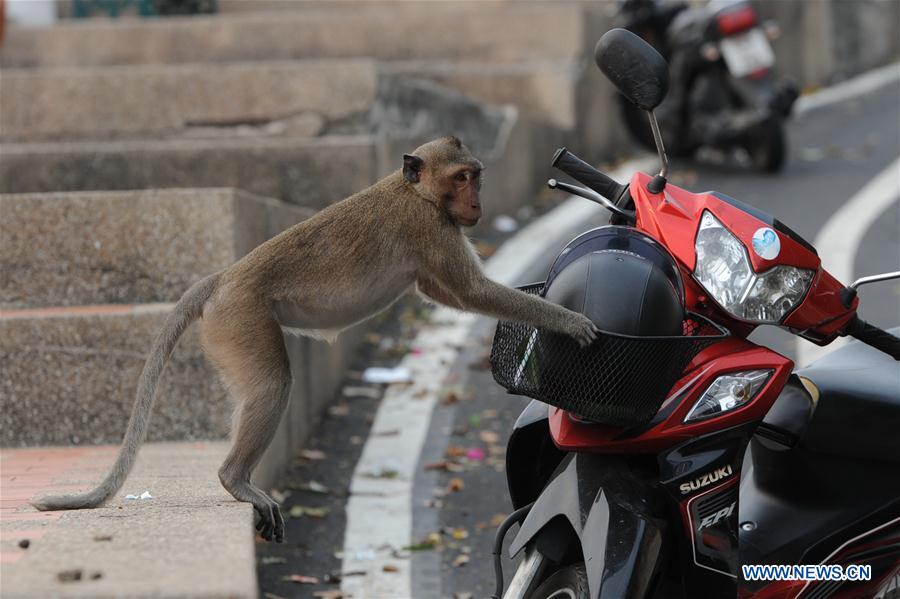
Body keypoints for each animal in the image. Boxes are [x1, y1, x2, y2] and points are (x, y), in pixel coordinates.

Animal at [32, 136, 598, 542]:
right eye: (461, 177)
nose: (477, 203)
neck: (415, 192)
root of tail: (222, 279)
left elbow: (448, 294)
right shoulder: (429, 227)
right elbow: (474, 293)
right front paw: (570, 320)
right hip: (241, 319)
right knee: (271, 384)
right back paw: (235, 479)